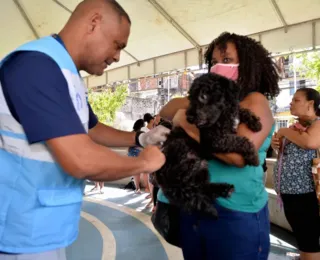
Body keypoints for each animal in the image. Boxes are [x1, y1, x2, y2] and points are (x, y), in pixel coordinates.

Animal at [155, 73, 262, 217]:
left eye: (203, 96)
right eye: (190, 97)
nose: (189, 118)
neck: (223, 115)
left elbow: (241, 110)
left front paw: (255, 122)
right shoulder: (214, 140)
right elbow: (240, 141)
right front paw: (253, 157)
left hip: (201, 168)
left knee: (203, 187)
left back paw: (224, 189)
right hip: (185, 154)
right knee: (196, 188)